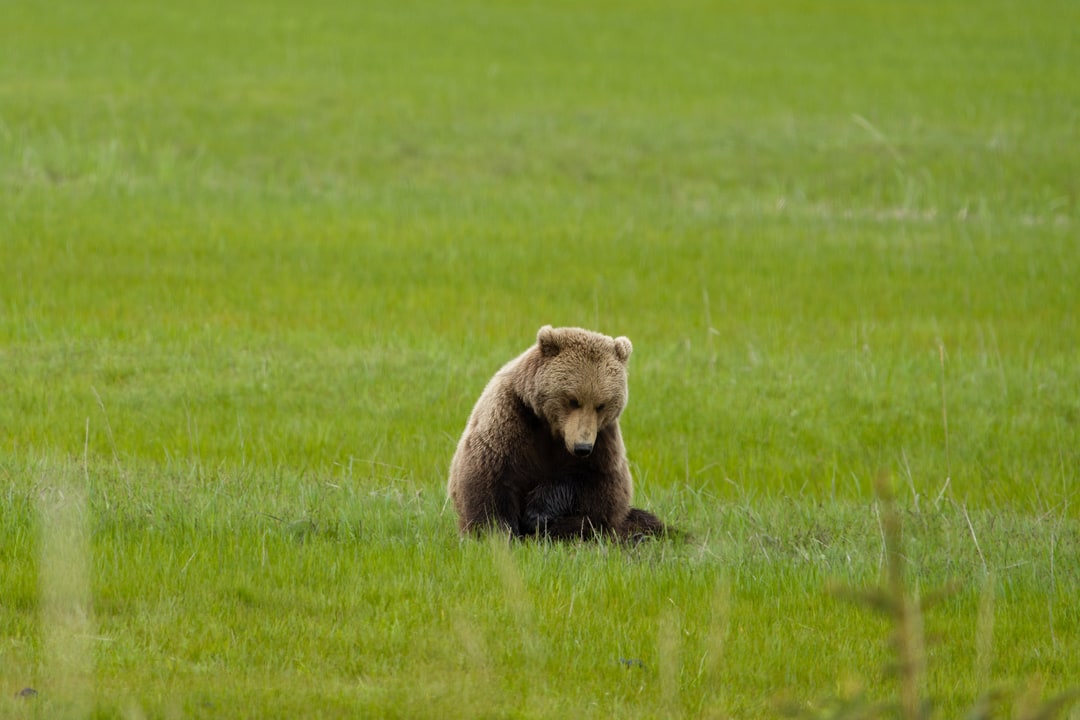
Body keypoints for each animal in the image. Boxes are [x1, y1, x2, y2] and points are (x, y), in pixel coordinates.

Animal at [446, 325, 669, 541]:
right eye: (573, 400)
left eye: (601, 405)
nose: (582, 447)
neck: (552, 429)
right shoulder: (510, 418)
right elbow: (490, 482)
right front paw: (498, 533)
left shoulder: (603, 439)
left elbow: (600, 486)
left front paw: (537, 514)